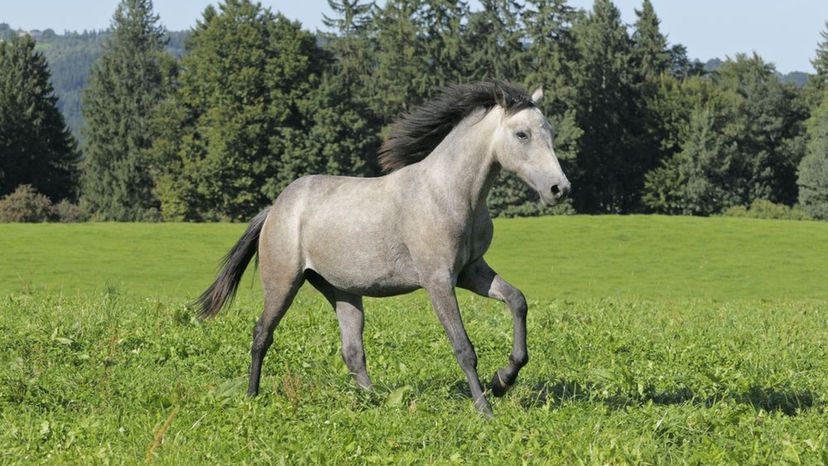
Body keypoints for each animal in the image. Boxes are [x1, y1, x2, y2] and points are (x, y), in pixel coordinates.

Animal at [196, 80, 568, 416]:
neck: (448, 193)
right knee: (262, 334)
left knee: (352, 352)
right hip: (283, 282)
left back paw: (374, 402)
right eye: (522, 134)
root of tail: (275, 209)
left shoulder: (471, 271)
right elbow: (463, 346)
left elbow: (517, 301)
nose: (559, 189)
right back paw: (251, 396)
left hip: (343, 292)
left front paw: (503, 380)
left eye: (550, 131)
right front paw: (485, 409)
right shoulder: (438, 280)